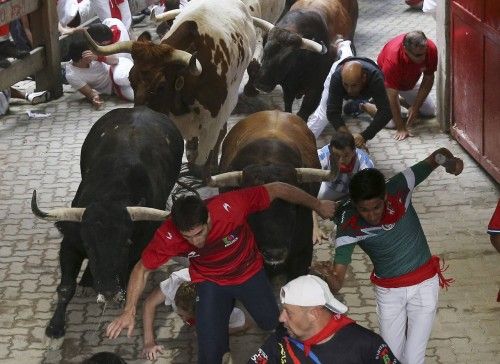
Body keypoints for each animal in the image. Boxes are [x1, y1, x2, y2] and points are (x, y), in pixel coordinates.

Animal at [31, 106, 184, 338]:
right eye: (88, 245)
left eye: (127, 243)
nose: (110, 291)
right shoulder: (70, 243)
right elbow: (65, 288)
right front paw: (55, 325)